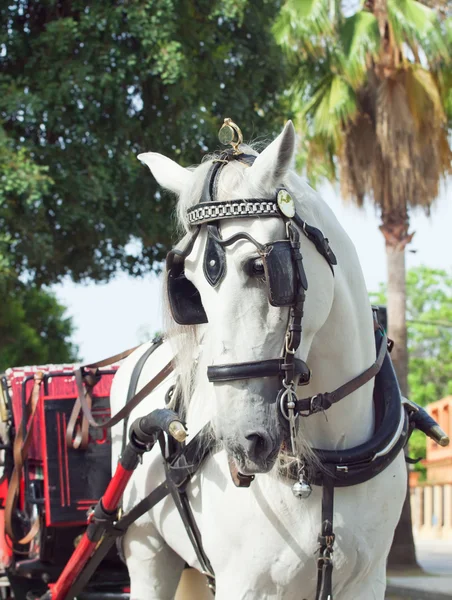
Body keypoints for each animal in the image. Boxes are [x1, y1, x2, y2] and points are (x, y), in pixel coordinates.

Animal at [109, 122, 406, 600]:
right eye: (189, 286)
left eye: (261, 268)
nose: (240, 443)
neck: (331, 462)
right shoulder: (246, 584)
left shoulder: (368, 580)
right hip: (147, 551)